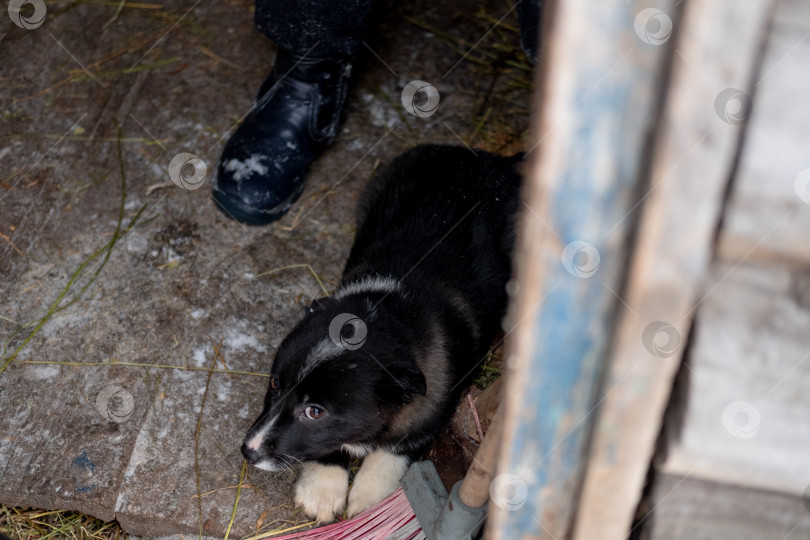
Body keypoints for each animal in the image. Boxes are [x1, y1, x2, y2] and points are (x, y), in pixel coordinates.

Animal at [240, 144, 520, 524]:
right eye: (275, 383)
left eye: (315, 412)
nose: (248, 451)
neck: (389, 313)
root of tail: (492, 158)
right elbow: (329, 447)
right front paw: (322, 491)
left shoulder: (433, 407)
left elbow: (395, 450)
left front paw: (368, 500)